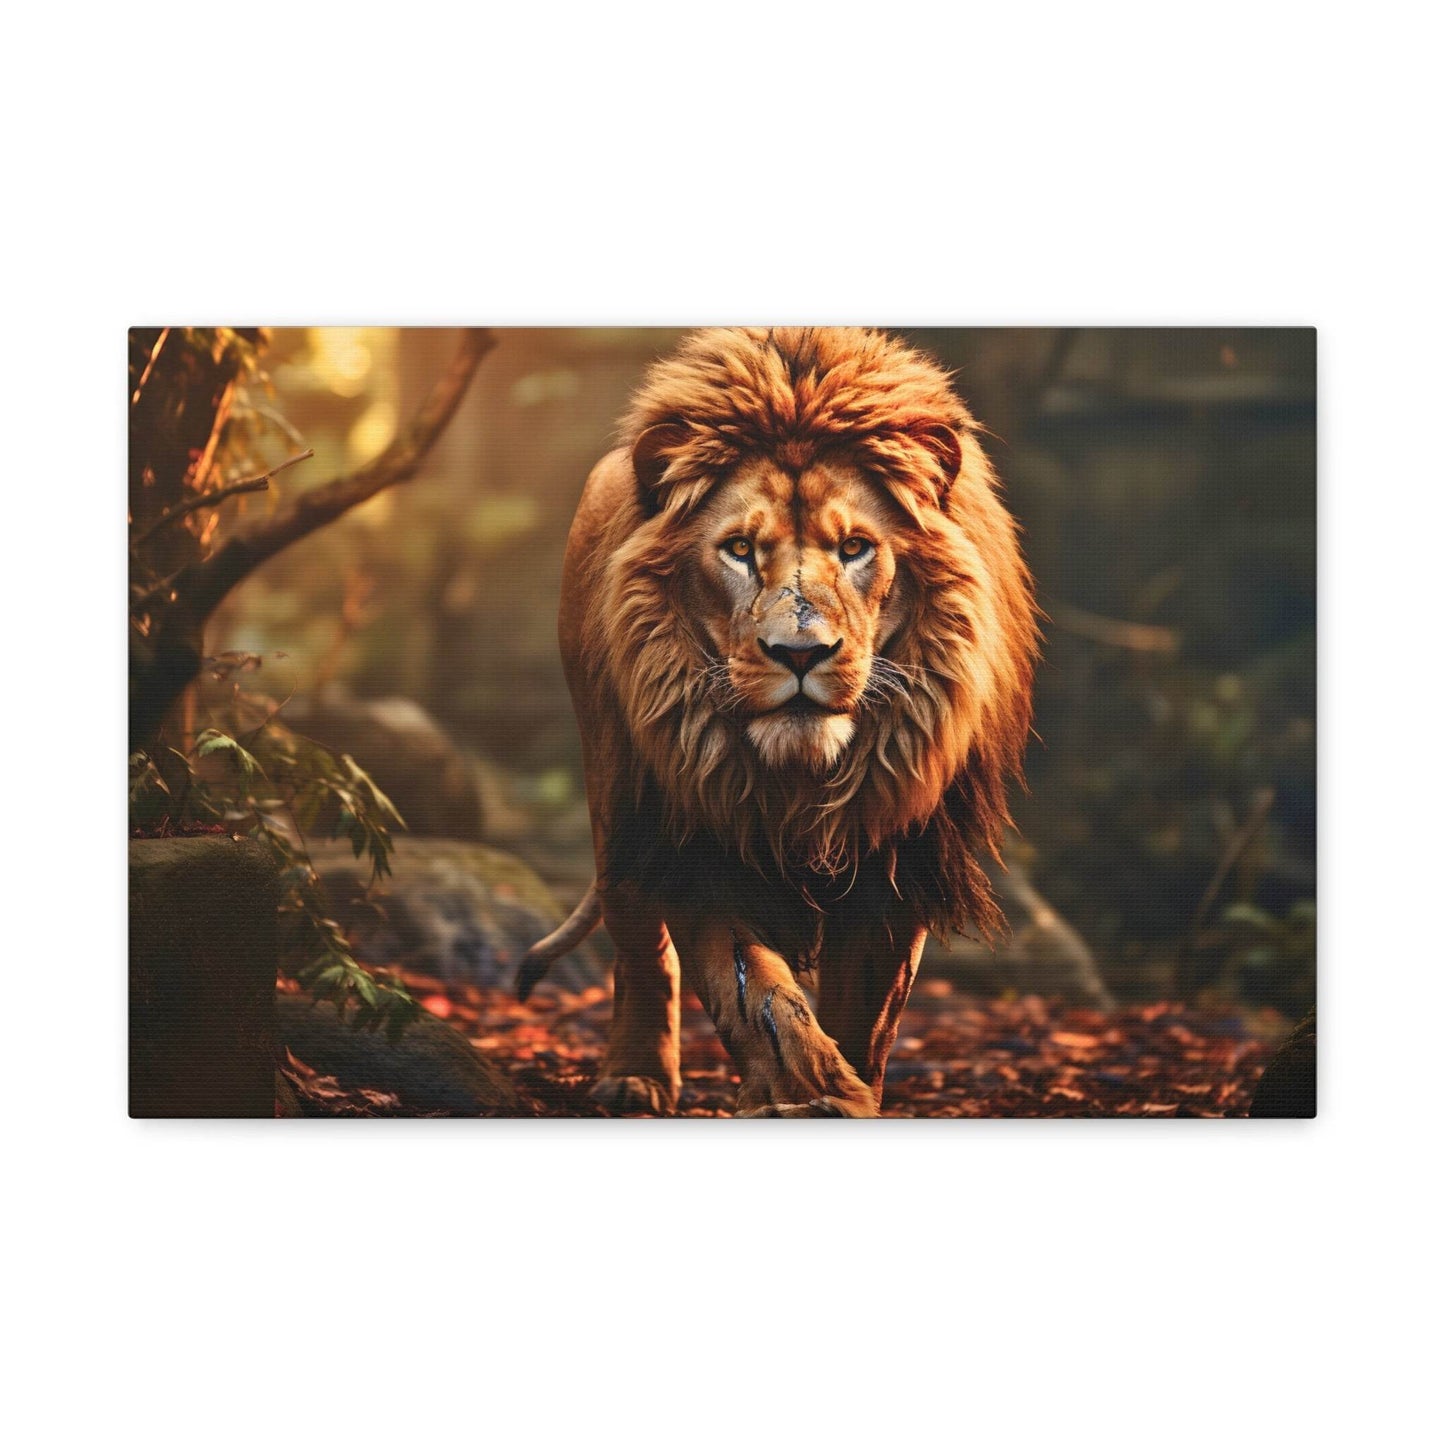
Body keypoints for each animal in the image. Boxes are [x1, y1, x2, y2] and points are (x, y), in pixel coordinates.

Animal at [518, 327, 1038, 1116]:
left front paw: (848, 1094)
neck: (802, 779)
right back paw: (633, 1077)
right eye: (739, 549)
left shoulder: (897, 854)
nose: (799, 652)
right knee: (638, 941)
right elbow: (754, 994)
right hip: (616, 791)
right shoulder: (697, 834)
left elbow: (865, 1014)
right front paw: (805, 1090)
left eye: (854, 548)